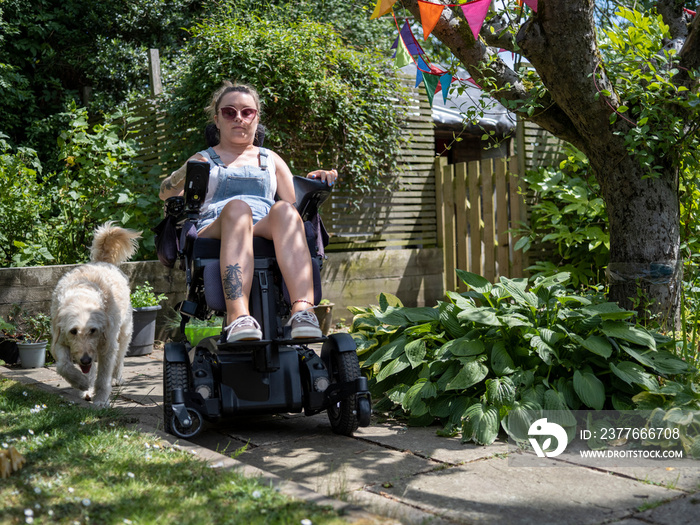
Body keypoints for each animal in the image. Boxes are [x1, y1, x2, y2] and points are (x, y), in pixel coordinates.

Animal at [50, 220, 141, 406]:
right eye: (73, 331)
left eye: (93, 330)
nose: (85, 360)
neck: (82, 294)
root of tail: (102, 262)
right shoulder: (59, 339)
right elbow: (63, 366)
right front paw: (81, 383)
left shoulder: (107, 346)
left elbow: (103, 377)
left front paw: (100, 400)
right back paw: (87, 387)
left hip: (124, 332)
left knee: (120, 358)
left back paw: (116, 378)